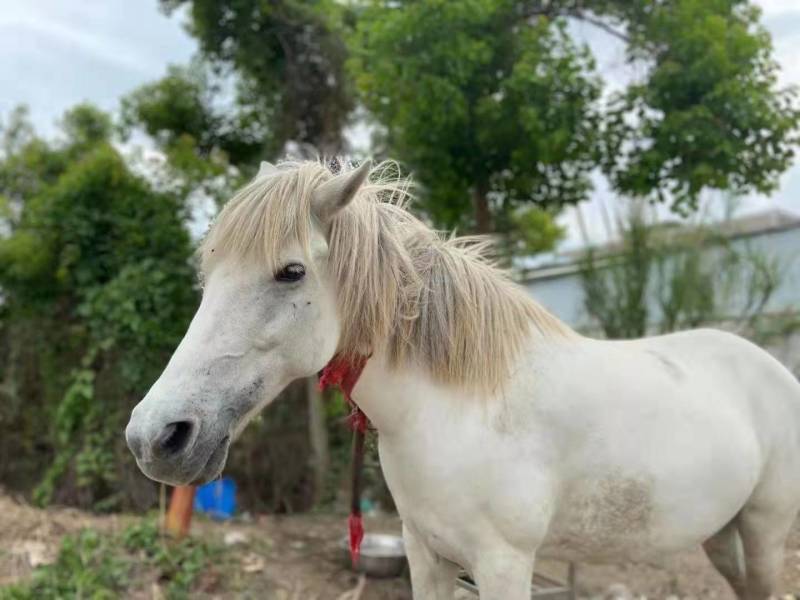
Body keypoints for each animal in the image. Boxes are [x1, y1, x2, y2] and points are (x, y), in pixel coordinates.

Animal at [126, 159, 800, 599]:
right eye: (207, 277)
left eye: (290, 272)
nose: (155, 437)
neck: (459, 407)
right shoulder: (427, 555)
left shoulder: (503, 563)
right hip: (721, 534)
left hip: (765, 532)